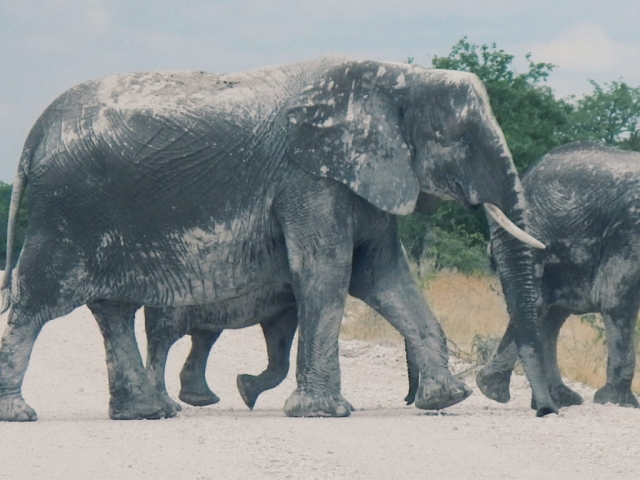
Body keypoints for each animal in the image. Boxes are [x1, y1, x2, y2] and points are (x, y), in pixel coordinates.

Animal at [0, 55, 556, 420]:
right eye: (457, 139)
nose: (545, 410)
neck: (396, 77)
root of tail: (36, 131)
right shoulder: (309, 180)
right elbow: (326, 273)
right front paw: (322, 412)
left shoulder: (360, 177)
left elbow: (385, 278)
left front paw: (447, 400)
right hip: (69, 210)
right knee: (39, 299)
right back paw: (21, 413)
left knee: (111, 309)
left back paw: (147, 413)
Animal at [478, 142, 640, 408]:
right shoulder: (630, 228)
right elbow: (614, 298)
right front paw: (617, 403)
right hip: (534, 237)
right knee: (539, 305)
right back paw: (495, 391)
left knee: (551, 314)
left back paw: (554, 398)